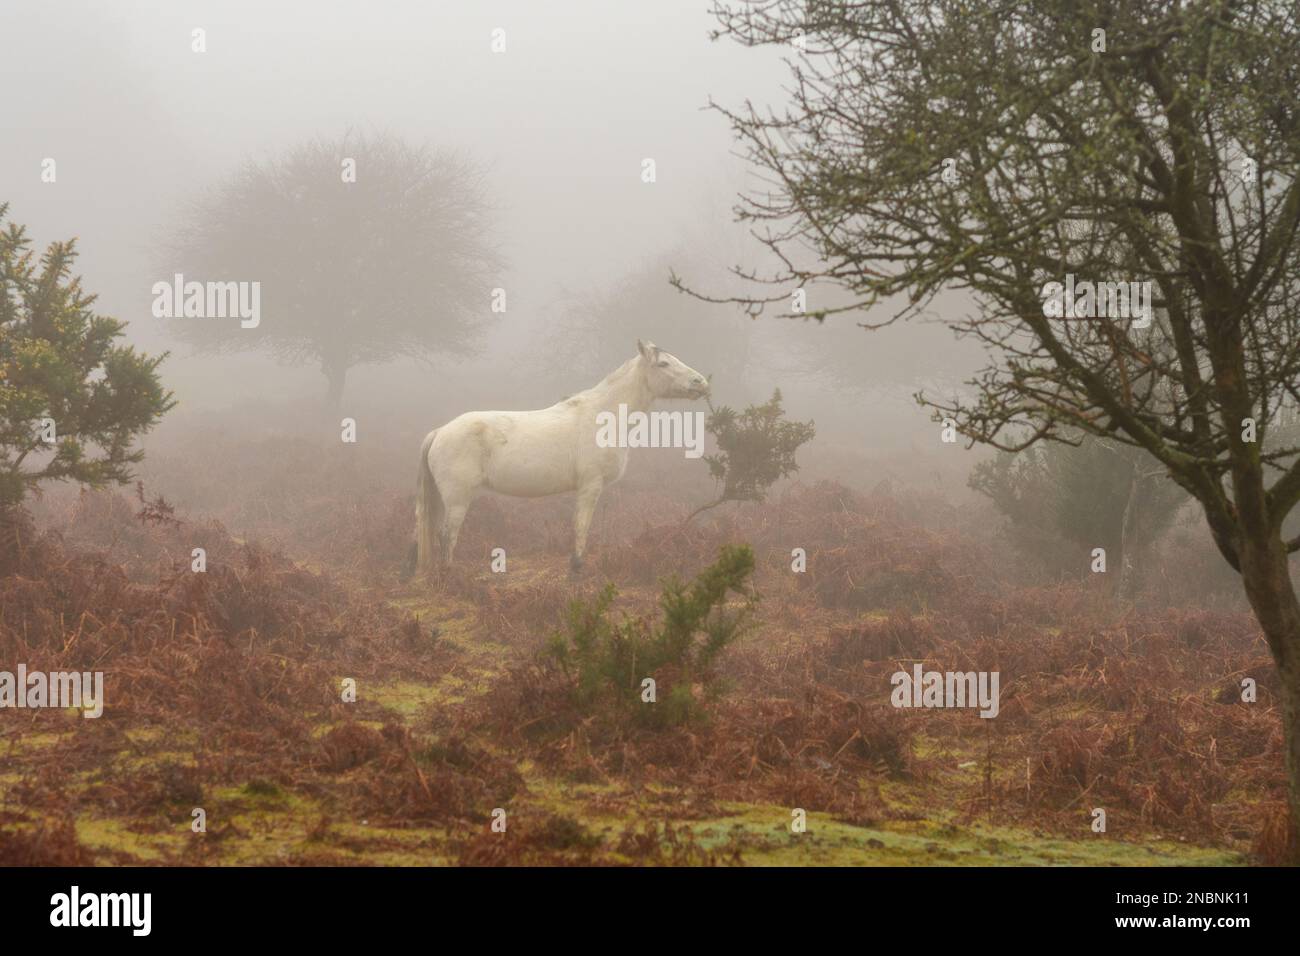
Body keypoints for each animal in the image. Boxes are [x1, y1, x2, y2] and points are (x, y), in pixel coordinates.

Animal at [408, 340, 707, 572]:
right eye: (663, 364)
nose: (701, 382)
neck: (602, 416)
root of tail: (439, 432)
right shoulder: (590, 485)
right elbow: (581, 525)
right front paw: (576, 566)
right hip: (457, 498)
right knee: (447, 535)